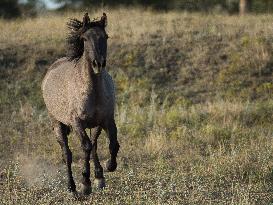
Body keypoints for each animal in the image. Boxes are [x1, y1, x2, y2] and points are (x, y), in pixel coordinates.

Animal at [41, 13, 119, 195]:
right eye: (84, 39)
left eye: (105, 37)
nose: (98, 64)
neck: (93, 90)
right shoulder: (77, 123)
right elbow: (85, 146)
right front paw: (85, 183)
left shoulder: (107, 120)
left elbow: (112, 145)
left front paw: (108, 167)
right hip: (58, 124)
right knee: (67, 154)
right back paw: (72, 187)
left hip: (95, 125)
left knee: (95, 144)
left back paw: (99, 177)